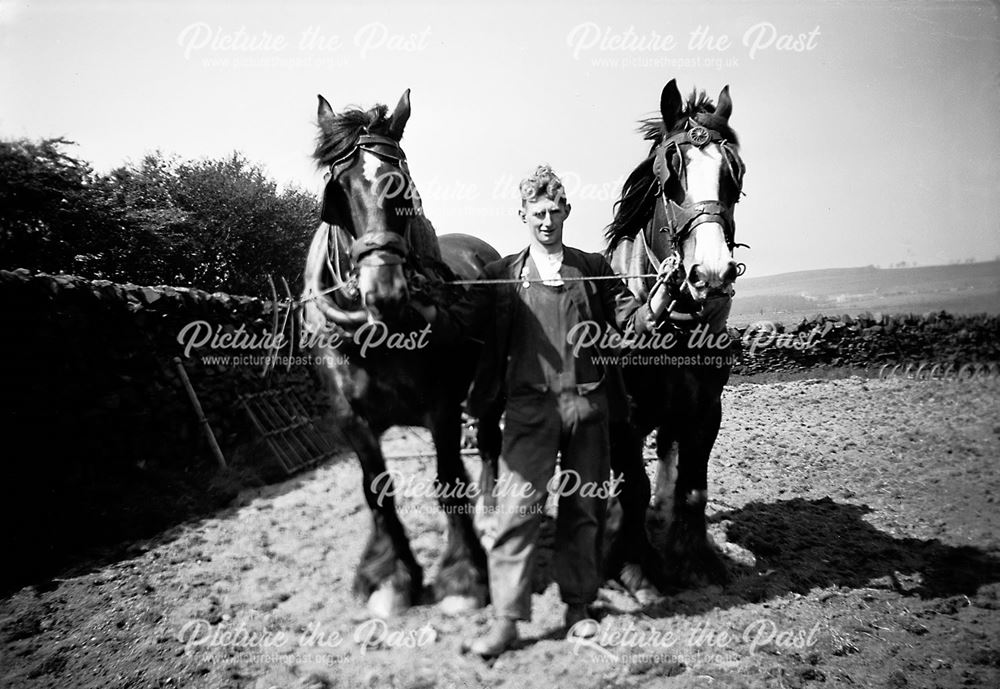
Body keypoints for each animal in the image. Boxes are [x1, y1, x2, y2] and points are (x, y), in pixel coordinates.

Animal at [298, 87, 498, 620]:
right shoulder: (352, 418)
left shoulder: (443, 405)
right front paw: (389, 576)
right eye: (337, 192)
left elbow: (449, 480)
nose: (384, 291)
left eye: (403, 187)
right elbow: (377, 490)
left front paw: (463, 576)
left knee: (490, 442)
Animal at [600, 76, 744, 592]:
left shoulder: (706, 407)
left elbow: (693, 484)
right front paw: (635, 564)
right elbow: (633, 485)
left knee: (668, 453)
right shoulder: (624, 415)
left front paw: (696, 559)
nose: (713, 273)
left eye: (734, 176)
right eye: (670, 177)